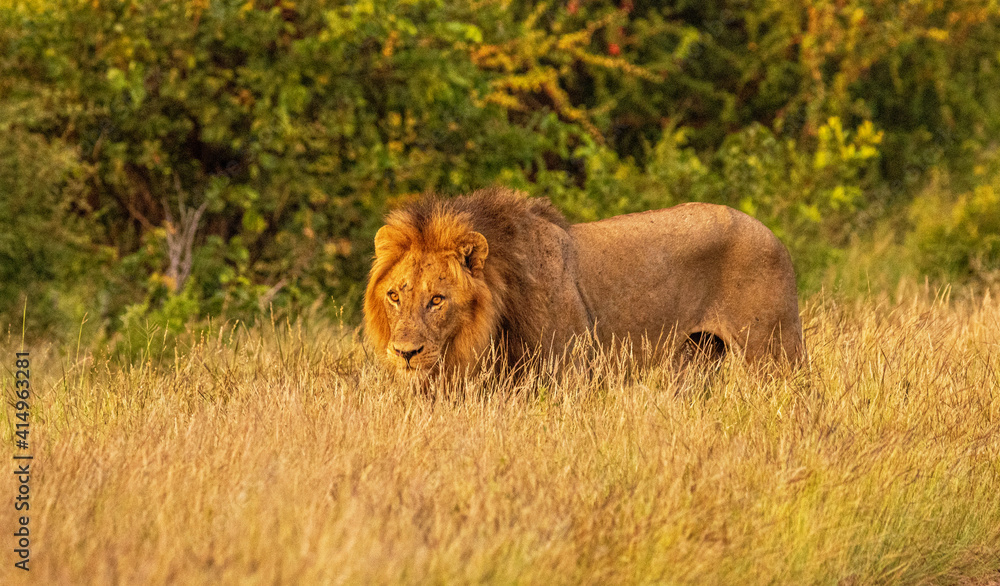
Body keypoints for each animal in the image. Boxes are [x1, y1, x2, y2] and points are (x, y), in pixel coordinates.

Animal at [364, 187, 803, 380]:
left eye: (437, 299)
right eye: (394, 296)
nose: (404, 353)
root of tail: (773, 234)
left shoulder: (570, 371)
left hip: (774, 350)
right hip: (697, 354)